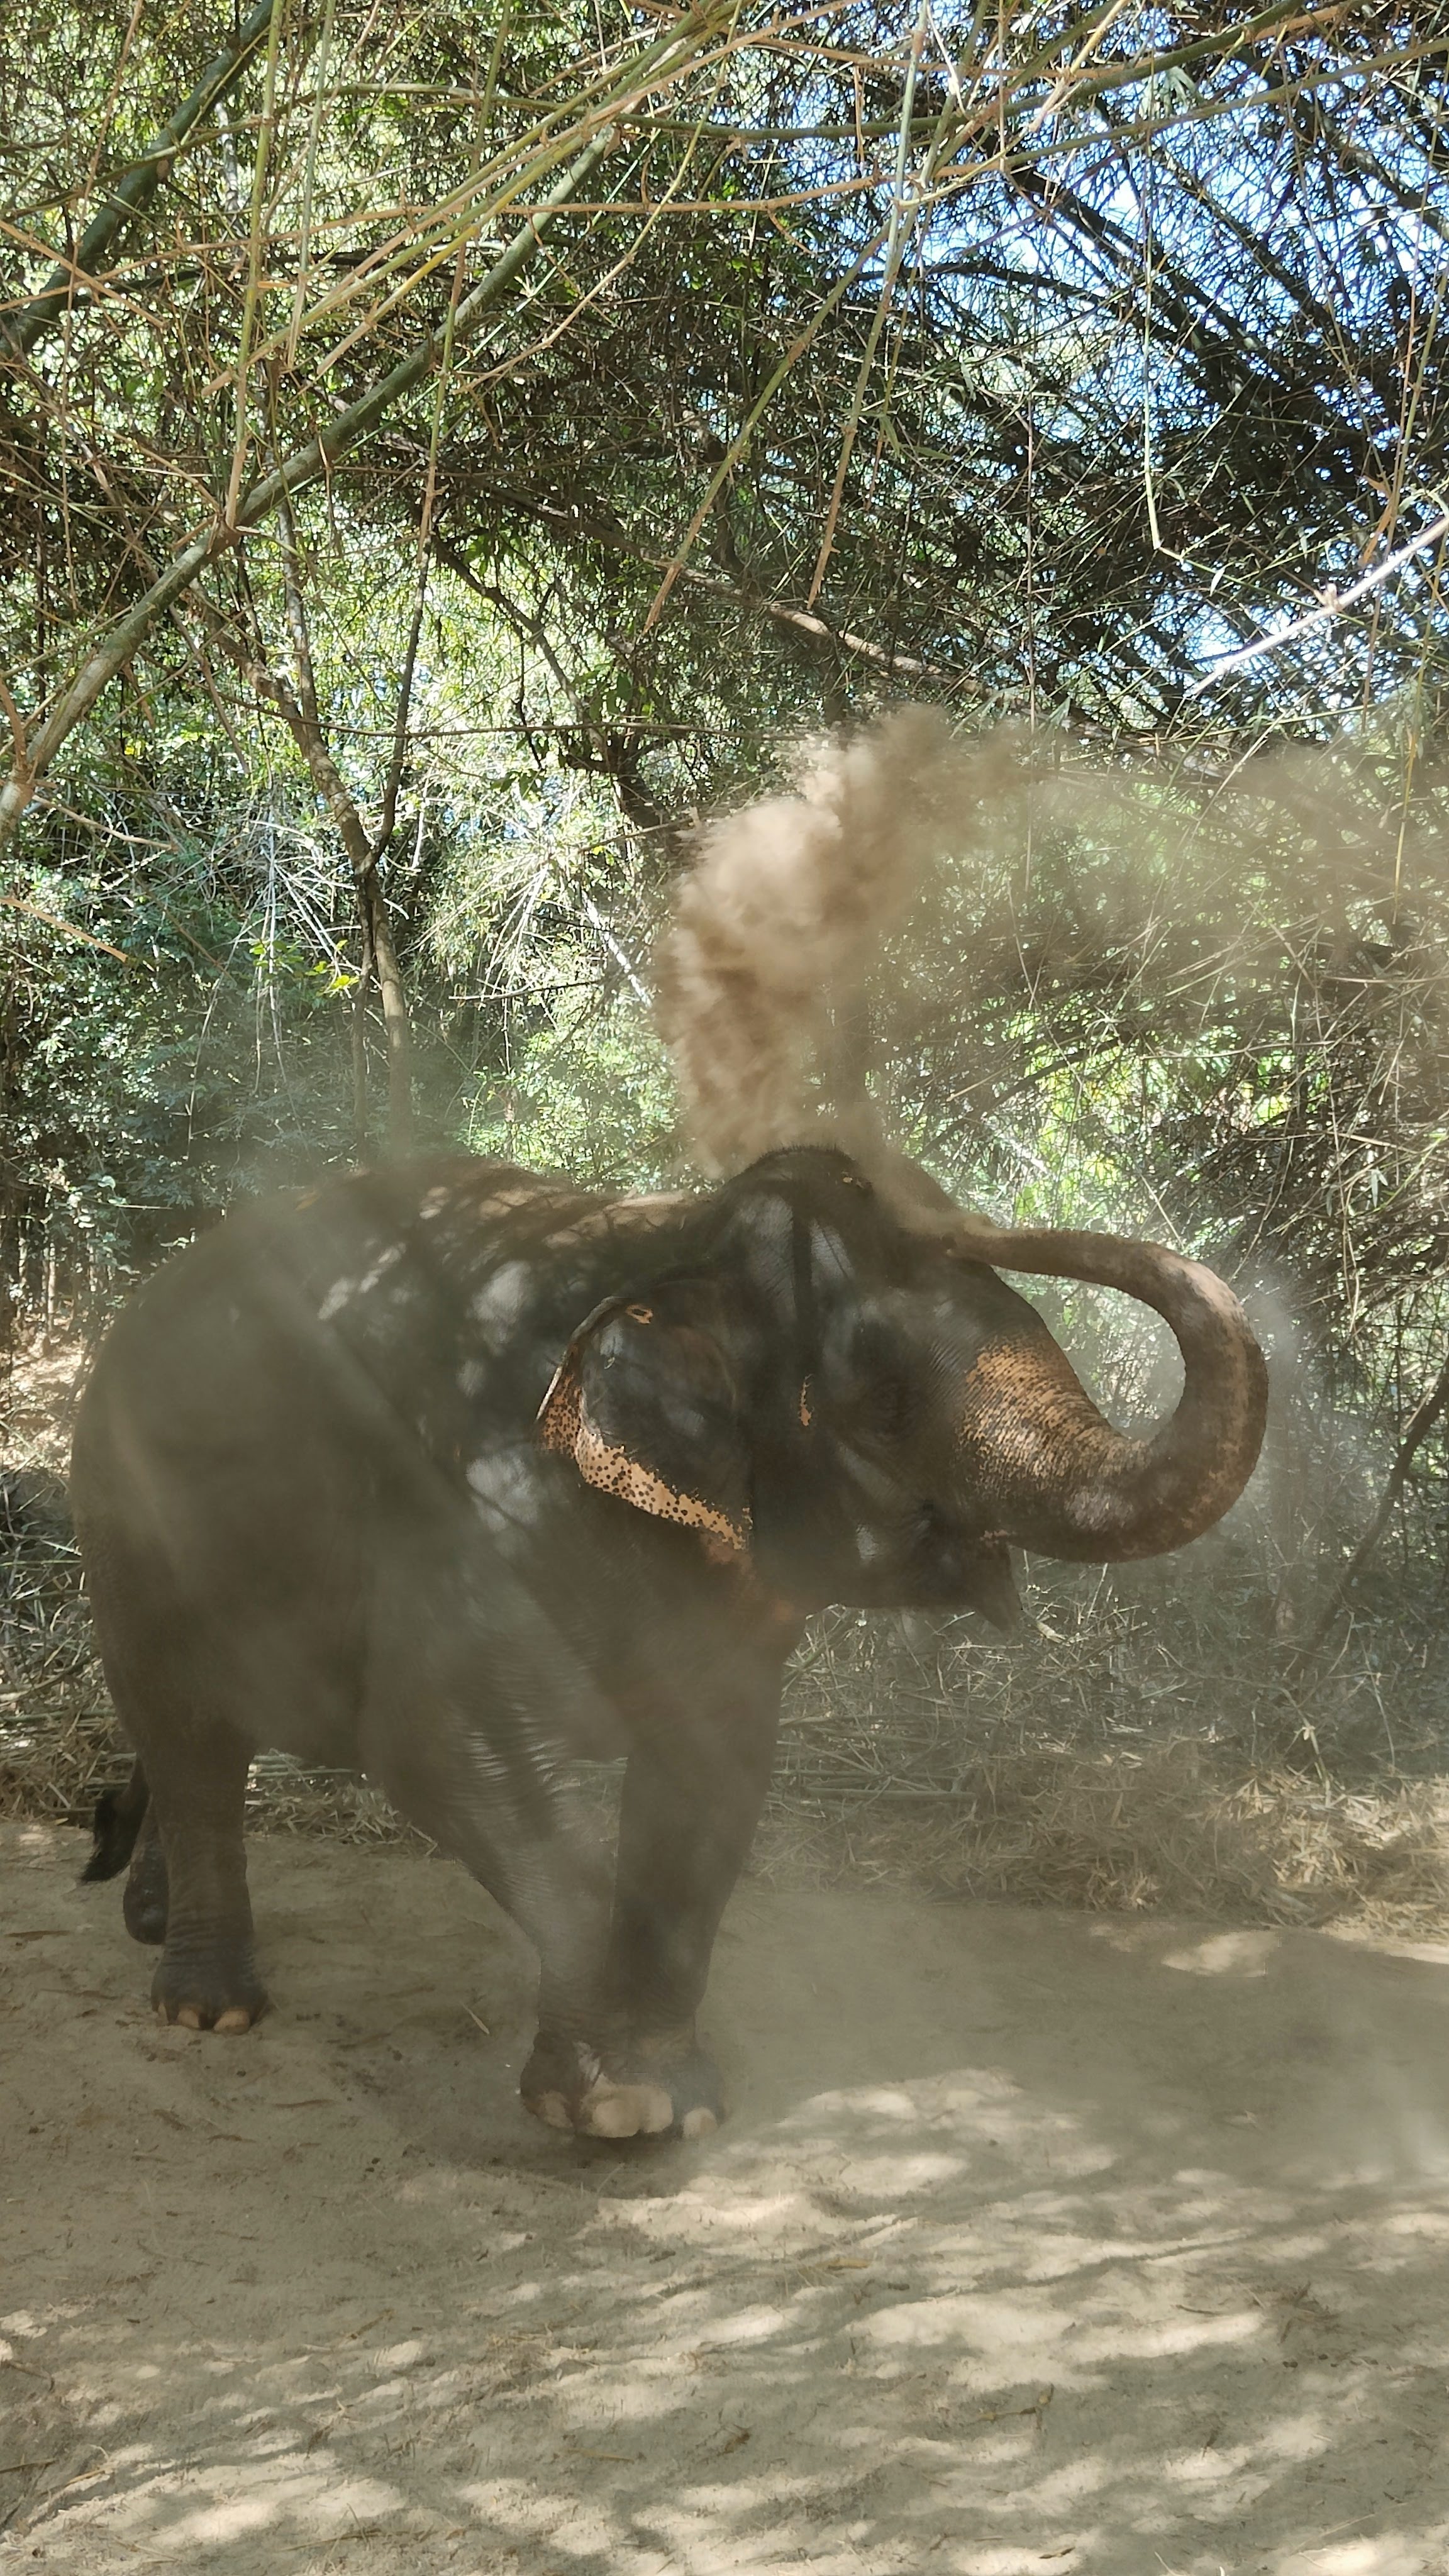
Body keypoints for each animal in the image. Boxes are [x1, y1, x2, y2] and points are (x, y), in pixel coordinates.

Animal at [72, 1144, 1267, 2138]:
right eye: (882, 1403)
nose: (873, 1174)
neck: (668, 1240)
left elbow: (712, 1778)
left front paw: (678, 2102)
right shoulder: (472, 1506)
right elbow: (447, 1751)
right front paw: (605, 2109)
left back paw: (148, 1917)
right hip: (128, 1532)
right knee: (188, 1732)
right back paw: (209, 2011)